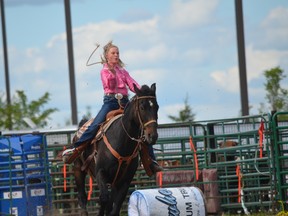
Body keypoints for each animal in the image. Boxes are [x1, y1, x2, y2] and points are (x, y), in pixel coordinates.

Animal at [72, 83, 158, 216]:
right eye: (142, 107)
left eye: (157, 107)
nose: (152, 136)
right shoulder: (100, 172)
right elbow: (104, 198)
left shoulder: (124, 180)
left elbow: (115, 206)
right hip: (78, 169)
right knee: (82, 197)